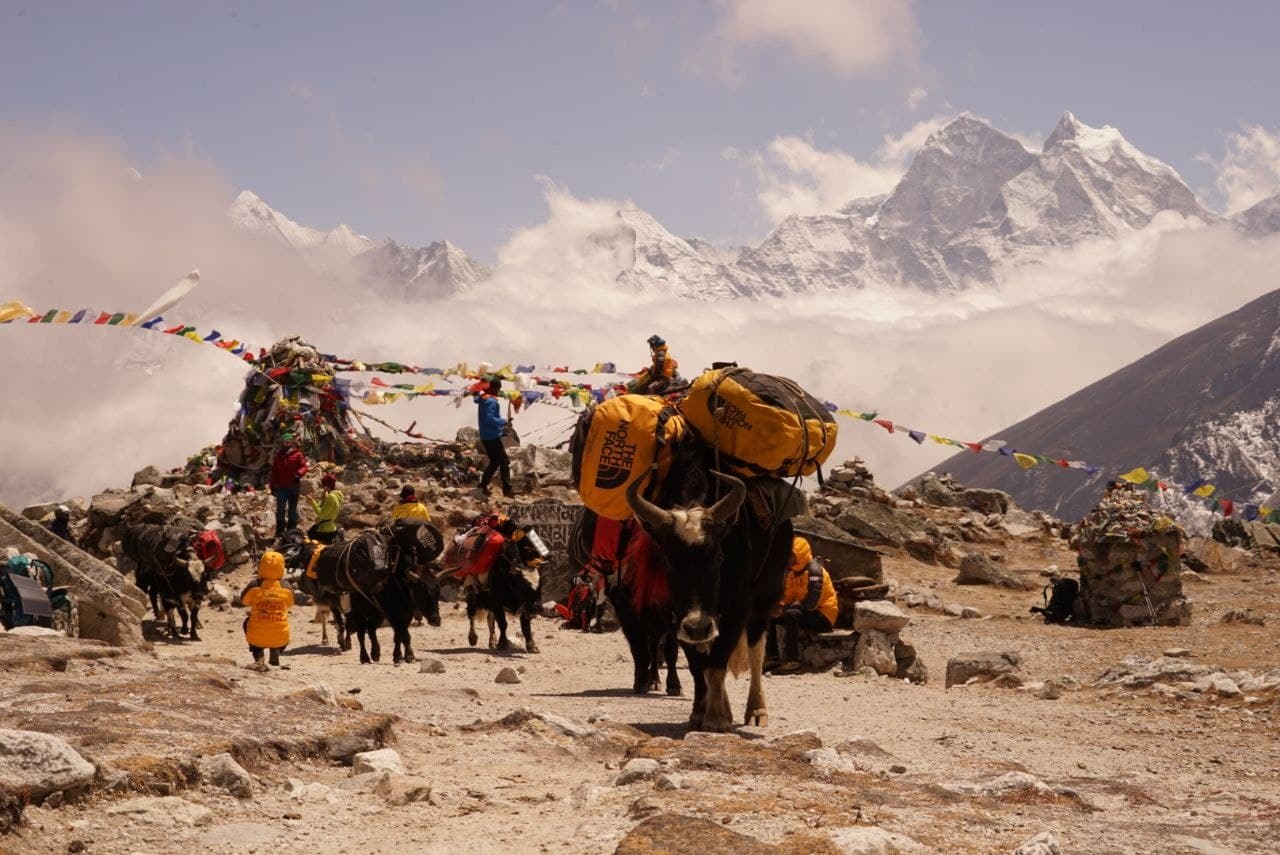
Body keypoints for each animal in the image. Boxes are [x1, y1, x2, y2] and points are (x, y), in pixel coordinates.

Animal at [622, 444, 795, 732]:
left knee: (756, 651)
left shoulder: (738, 609)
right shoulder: (677, 617)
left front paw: (715, 719)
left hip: (765, 600)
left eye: (719, 557)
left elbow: (717, 664)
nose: (698, 626)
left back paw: (756, 711)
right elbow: (698, 667)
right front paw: (699, 714)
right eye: (668, 560)